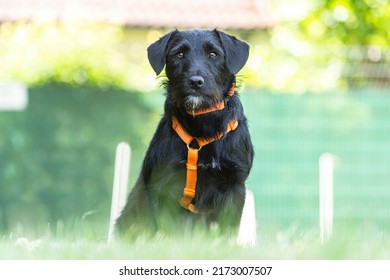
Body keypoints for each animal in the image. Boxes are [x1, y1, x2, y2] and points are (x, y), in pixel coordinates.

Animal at [116, 29, 254, 237]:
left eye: (213, 54)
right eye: (179, 54)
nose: (195, 82)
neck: (201, 124)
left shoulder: (235, 186)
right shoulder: (159, 185)